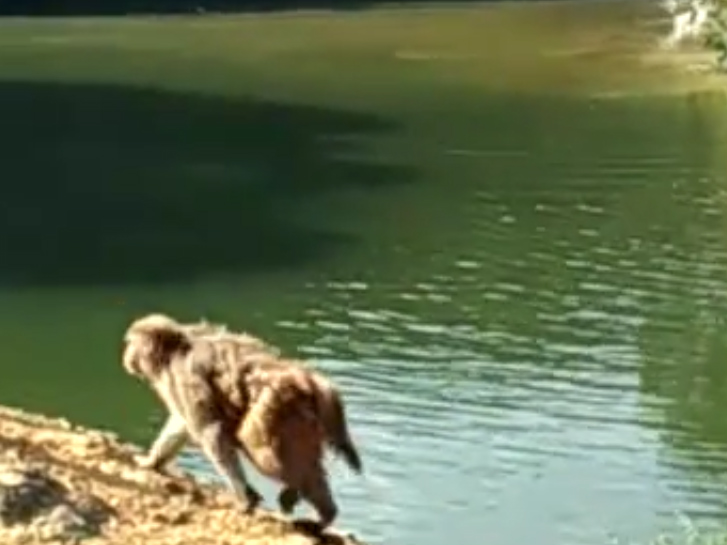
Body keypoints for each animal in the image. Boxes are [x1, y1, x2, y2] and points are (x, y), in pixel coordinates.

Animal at [122, 312, 363, 529]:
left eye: (131, 344)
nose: (126, 355)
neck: (178, 347)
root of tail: (311, 382)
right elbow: (182, 426)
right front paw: (153, 461)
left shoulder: (185, 376)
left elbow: (210, 431)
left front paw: (245, 496)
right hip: (301, 416)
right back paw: (315, 505)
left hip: (280, 411)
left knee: (261, 448)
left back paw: (311, 503)